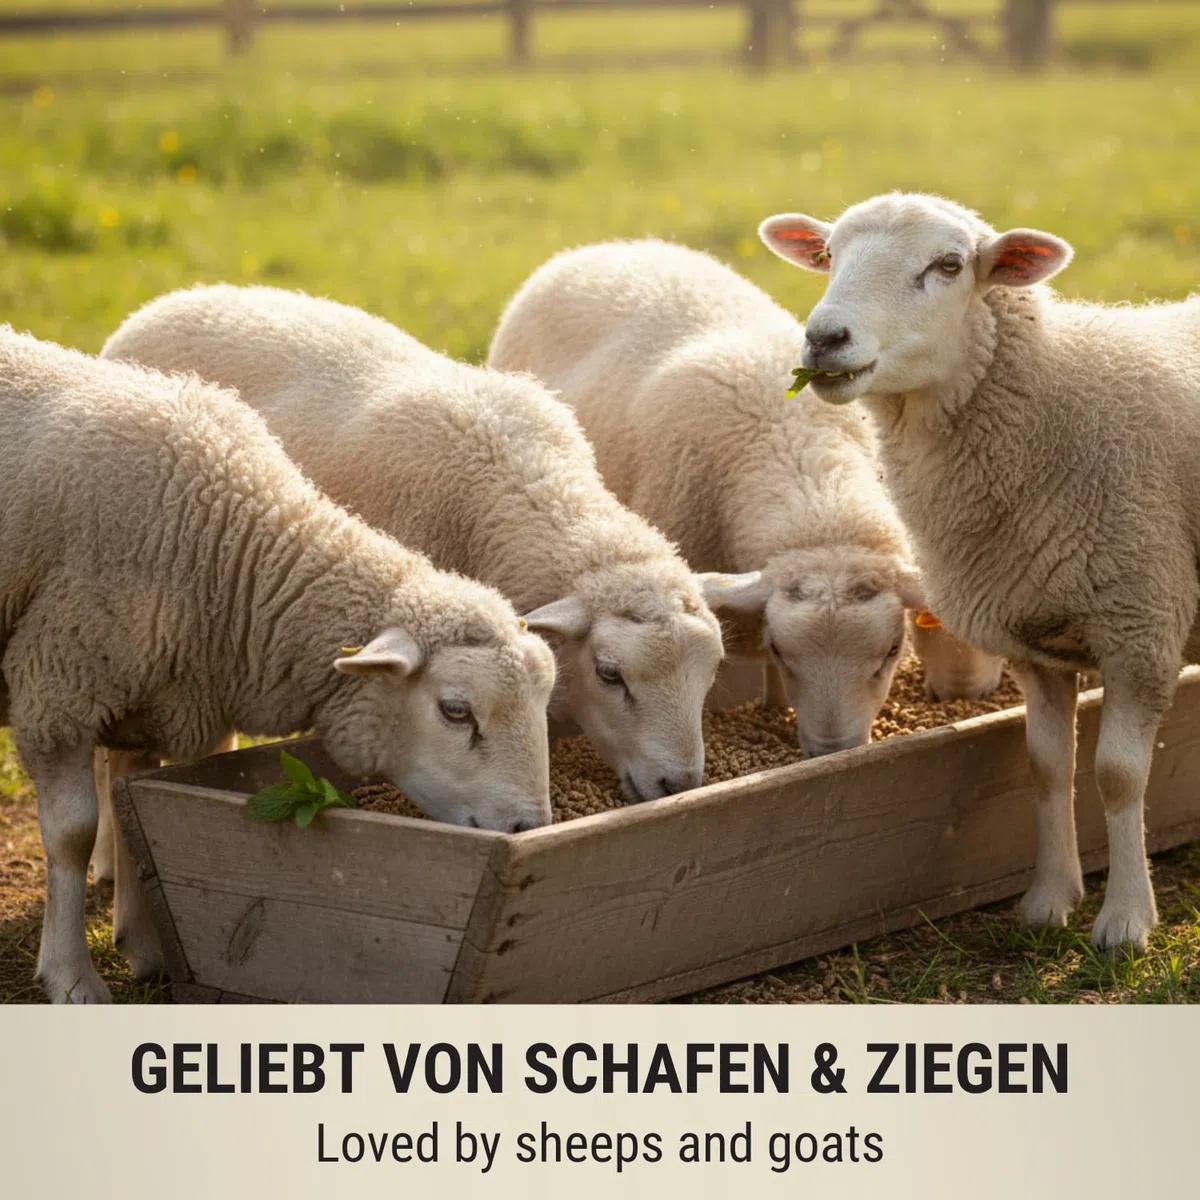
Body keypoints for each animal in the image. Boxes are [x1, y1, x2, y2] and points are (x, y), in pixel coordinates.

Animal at [0, 325, 557, 1002]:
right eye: (455, 711)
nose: (530, 827)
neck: (229, 550)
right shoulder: (58, 686)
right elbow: (73, 833)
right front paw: (72, 976)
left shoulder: (149, 694)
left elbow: (131, 809)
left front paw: (147, 948)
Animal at [758, 190, 1200, 949]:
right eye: (830, 256)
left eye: (948, 265)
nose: (824, 339)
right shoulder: (1035, 641)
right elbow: (1047, 768)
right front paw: (1050, 901)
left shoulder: (1140, 626)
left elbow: (1117, 776)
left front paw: (1124, 921)